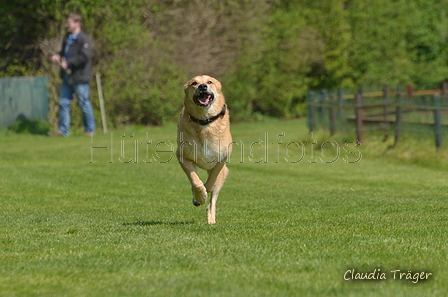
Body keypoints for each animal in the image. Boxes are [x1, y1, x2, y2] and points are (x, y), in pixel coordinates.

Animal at [177, 75, 233, 223]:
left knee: (212, 200)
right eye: (194, 83)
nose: (202, 86)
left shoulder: (221, 159)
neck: (204, 121)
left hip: (223, 173)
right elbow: (195, 181)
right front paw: (200, 196)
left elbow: (211, 182)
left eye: (209, 82)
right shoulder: (183, 157)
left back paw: (211, 219)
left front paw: (203, 194)